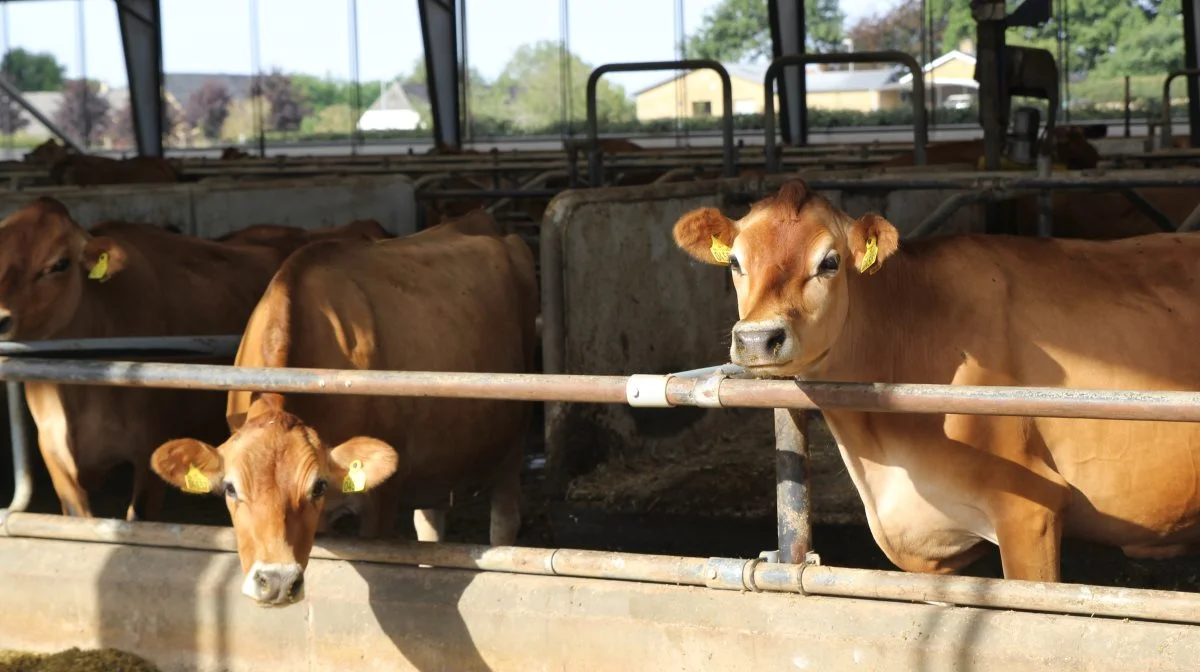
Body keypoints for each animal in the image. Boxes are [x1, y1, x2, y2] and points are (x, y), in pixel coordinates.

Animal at [151, 208, 540, 604]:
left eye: (317, 487)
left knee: (504, 522)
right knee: (431, 526)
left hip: (514, 440)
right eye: (230, 488)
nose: (276, 581)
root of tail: (477, 219)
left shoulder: (382, 499)